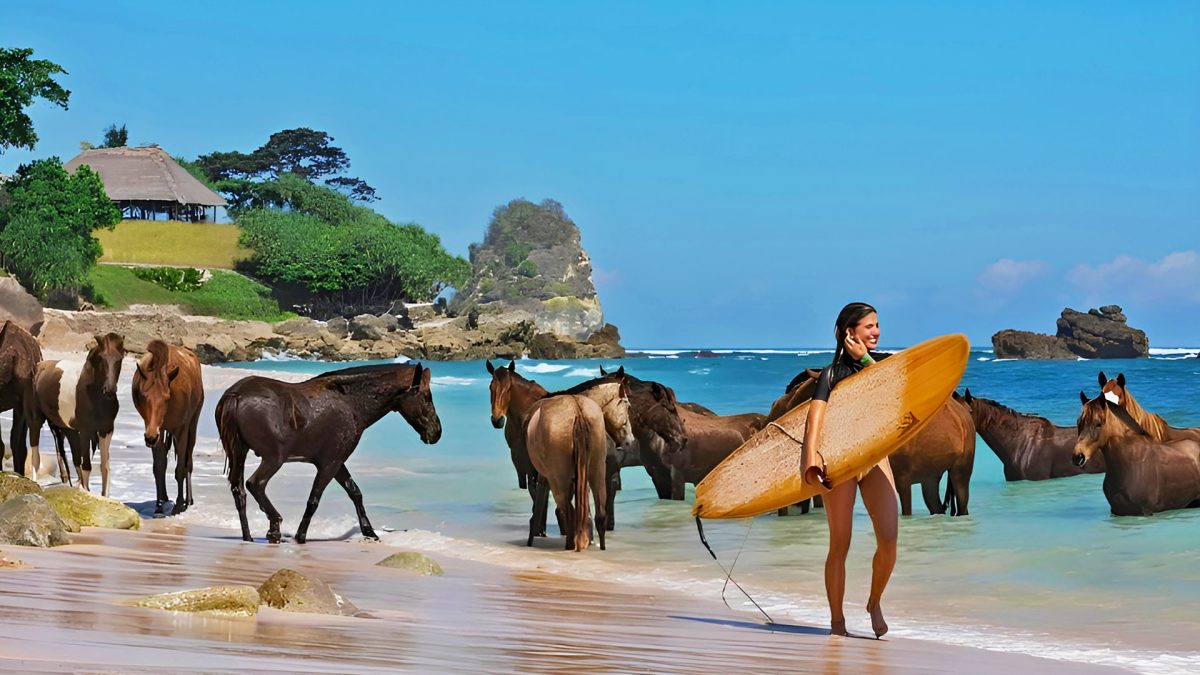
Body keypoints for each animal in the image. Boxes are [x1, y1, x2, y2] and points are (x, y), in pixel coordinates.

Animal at [28, 333, 125, 494]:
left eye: (120, 358)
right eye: (101, 358)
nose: (109, 390)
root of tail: (39, 366)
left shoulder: (106, 430)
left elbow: (104, 468)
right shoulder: (85, 431)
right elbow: (86, 466)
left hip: (68, 430)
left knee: (73, 460)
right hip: (35, 420)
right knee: (36, 457)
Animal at [131, 340, 204, 516]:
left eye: (166, 397)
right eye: (143, 396)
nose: (150, 437)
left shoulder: (181, 430)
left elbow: (180, 469)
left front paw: (179, 505)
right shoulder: (154, 431)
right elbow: (159, 467)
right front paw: (158, 506)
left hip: (193, 424)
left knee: (188, 461)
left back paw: (188, 500)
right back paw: (164, 498)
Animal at [216, 362, 441, 544]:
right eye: (426, 397)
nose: (436, 432)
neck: (349, 401)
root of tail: (236, 394)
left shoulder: (337, 463)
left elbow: (355, 493)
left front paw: (369, 532)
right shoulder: (329, 464)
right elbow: (314, 500)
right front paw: (300, 536)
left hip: (240, 453)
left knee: (239, 492)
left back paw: (249, 537)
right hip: (273, 459)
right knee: (255, 484)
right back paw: (275, 528)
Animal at [524, 384, 634, 551]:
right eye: (627, 406)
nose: (631, 440)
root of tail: (577, 411)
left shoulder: (547, 478)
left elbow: (540, 502)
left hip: (559, 483)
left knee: (568, 511)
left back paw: (570, 544)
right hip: (597, 473)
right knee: (600, 514)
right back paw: (598, 546)